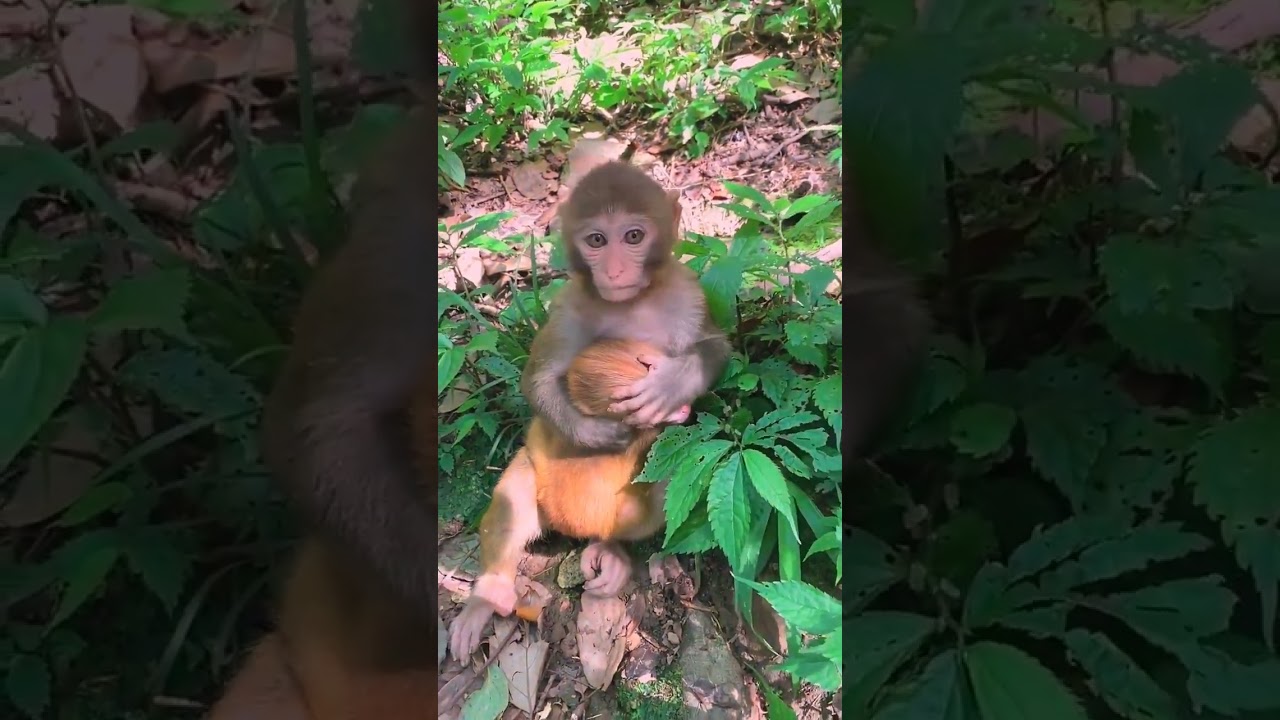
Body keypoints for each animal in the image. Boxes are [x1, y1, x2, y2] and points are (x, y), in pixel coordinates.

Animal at [520, 160, 732, 454]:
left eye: (633, 236)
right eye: (597, 240)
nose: (614, 271)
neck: (634, 301)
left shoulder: (688, 294)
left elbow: (715, 345)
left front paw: (670, 383)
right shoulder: (568, 309)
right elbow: (539, 380)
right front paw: (596, 433)